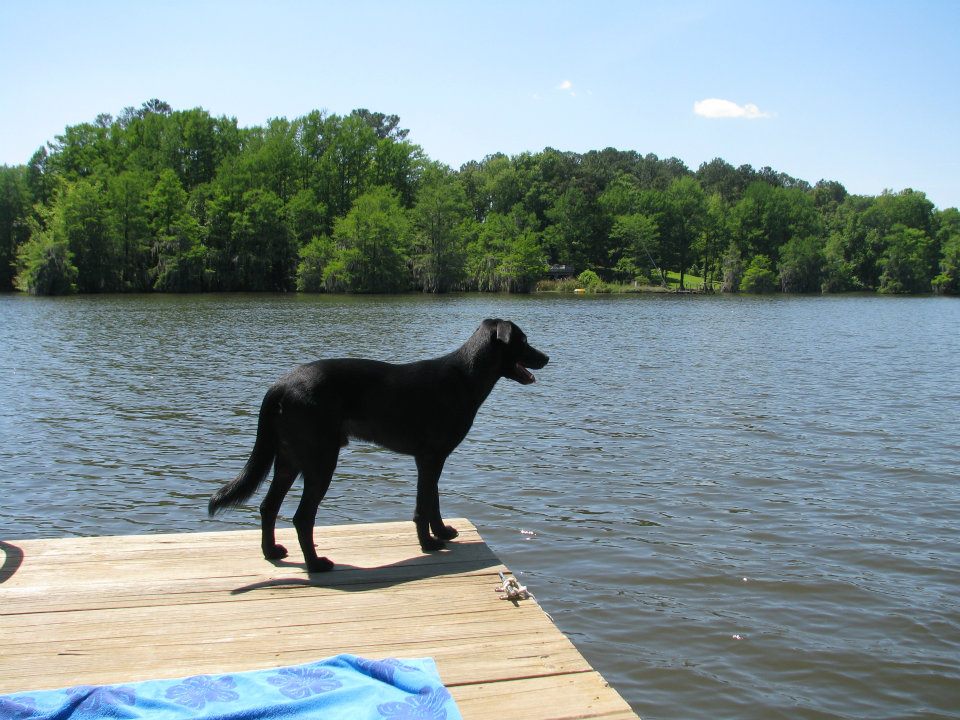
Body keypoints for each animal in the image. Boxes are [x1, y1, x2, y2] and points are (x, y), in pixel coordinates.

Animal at [208, 318, 548, 572]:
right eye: (524, 340)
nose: (546, 358)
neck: (464, 378)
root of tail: (279, 385)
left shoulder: (434, 459)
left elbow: (433, 501)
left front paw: (442, 533)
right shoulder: (429, 458)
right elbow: (423, 506)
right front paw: (428, 544)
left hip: (289, 458)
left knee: (268, 507)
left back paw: (273, 552)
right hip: (320, 459)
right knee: (302, 517)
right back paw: (317, 565)